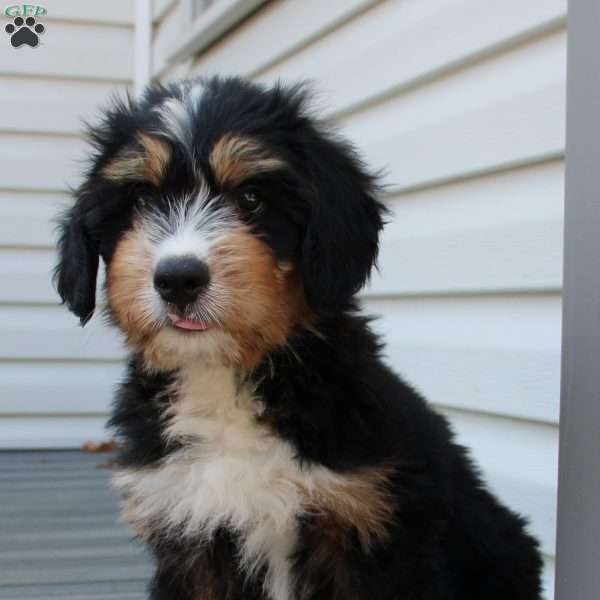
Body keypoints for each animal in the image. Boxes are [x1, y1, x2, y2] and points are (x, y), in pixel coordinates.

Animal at [55, 77, 544, 596]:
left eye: (251, 197)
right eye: (142, 202)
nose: (178, 279)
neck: (225, 382)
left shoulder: (367, 529)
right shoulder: (188, 538)